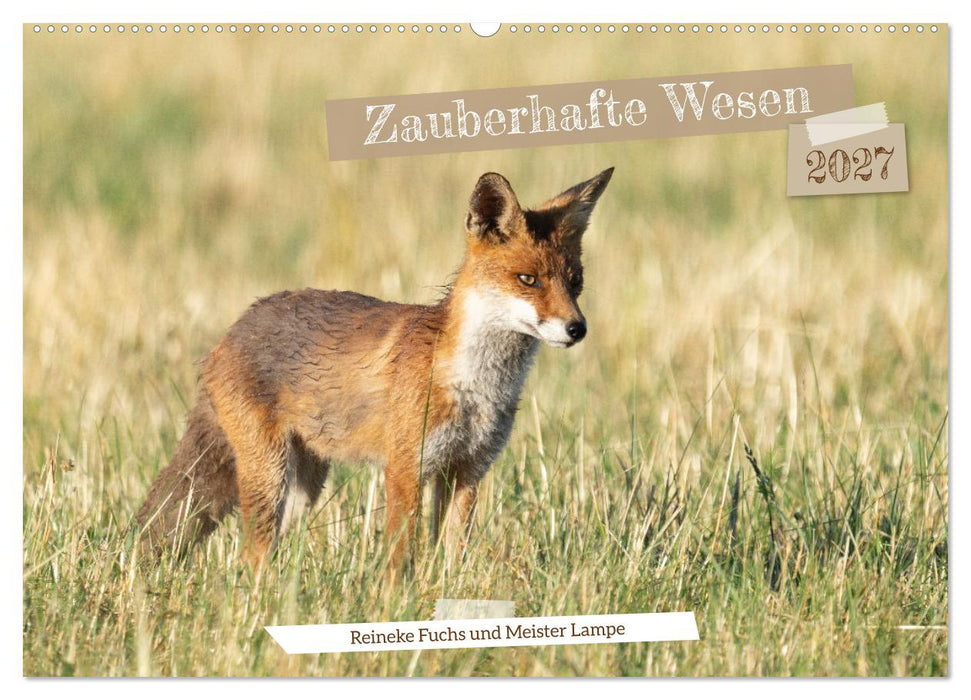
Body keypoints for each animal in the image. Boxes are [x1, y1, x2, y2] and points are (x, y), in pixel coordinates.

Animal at [135, 167, 613, 574]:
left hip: (304, 487)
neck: (474, 386)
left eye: (575, 282)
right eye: (528, 280)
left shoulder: (467, 470)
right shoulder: (404, 468)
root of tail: (230, 333)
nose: (577, 328)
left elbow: (451, 557)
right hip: (269, 475)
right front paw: (396, 603)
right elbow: (400, 557)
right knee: (250, 557)